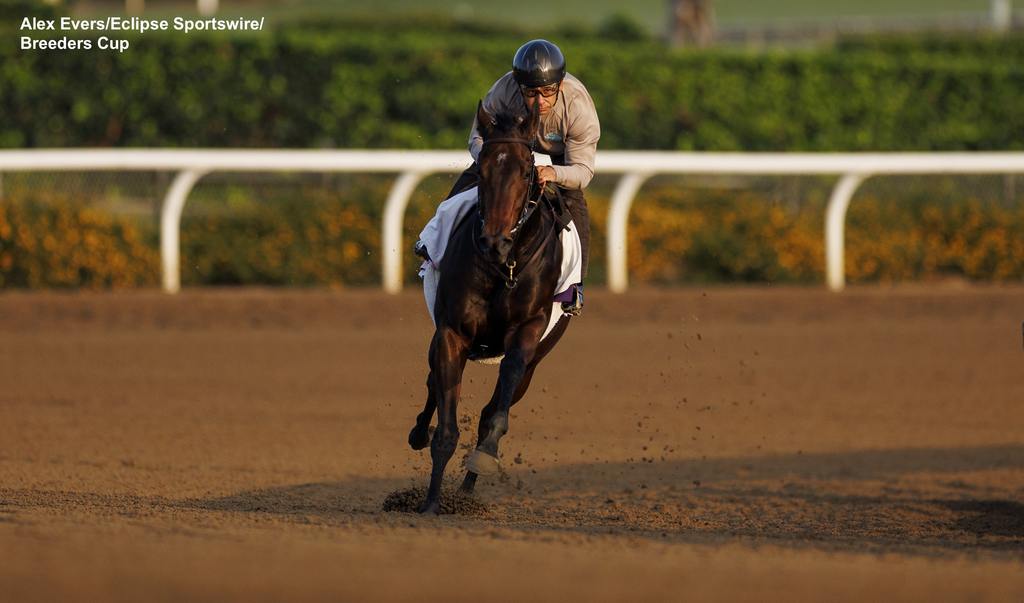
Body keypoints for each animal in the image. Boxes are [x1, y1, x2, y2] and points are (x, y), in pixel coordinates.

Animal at [405, 98, 573, 511]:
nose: (494, 241)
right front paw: (430, 503)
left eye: (527, 170)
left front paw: (481, 460)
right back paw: (419, 435)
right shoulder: (452, 333)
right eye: (482, 169)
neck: (504, 265)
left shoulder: (527, 331)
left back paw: (469, 485)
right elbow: (445, 426)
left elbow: (497, 407)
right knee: (432, 382)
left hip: (538, 357)